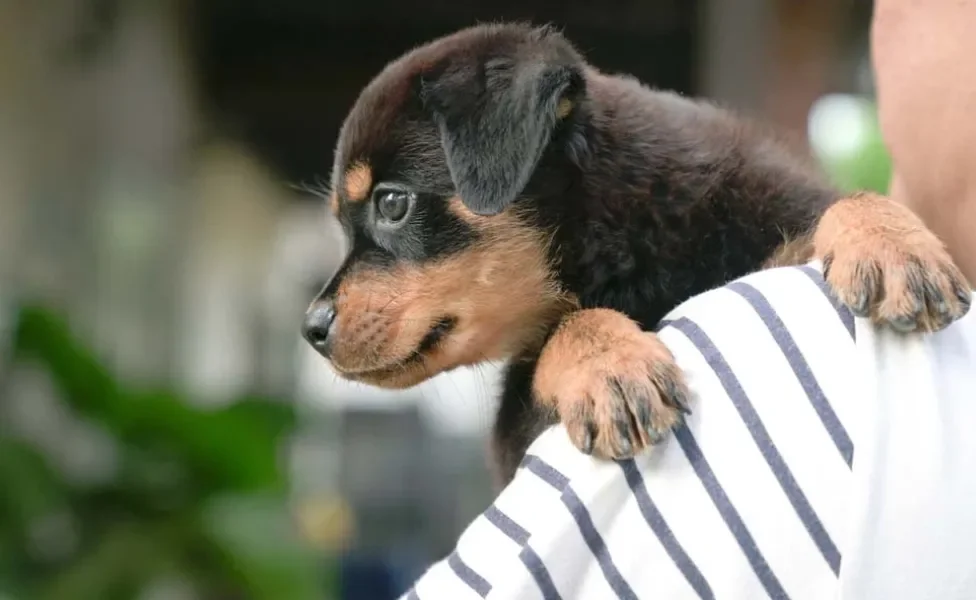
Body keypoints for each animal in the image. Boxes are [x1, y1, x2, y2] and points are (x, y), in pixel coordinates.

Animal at [302, 23, 972, 488]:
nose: (312, 328)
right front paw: (608, 366)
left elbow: (837, 206)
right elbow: (562, 331)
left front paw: (891, 245)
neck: (629, 243)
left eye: (392, 203)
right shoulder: (513, 437)